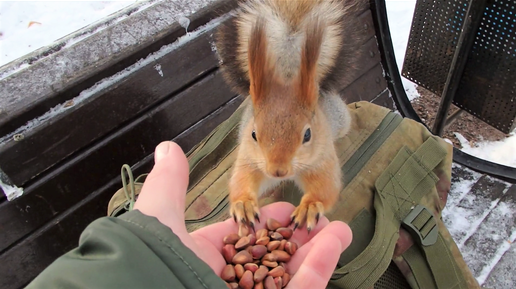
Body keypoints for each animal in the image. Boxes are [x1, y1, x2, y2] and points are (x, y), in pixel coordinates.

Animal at [214, 0, 362, 234]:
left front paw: (309, 207)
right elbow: (240, 182)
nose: (278, 171)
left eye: (308, 134)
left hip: (340, 120)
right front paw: (244, 204)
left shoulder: (322, 160)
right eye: (253, 134)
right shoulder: (248, 160)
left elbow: (326, 188)